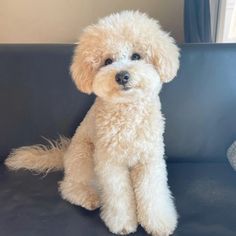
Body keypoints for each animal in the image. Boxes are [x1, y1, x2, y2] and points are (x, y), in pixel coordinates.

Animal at [5, 10, 179, 235]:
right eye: (107, 61)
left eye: (136, 56)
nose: (122, 76)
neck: (127, 111)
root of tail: (64, 156)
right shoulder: (110, 163)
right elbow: (119, 196)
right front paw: (123, 224)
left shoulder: (149, 159)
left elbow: (152, 193)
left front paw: (159, 223)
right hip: (84, 156)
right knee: (69, 186)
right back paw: (89, 198)